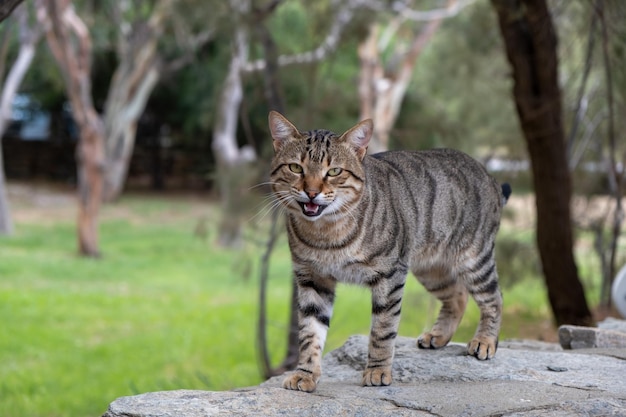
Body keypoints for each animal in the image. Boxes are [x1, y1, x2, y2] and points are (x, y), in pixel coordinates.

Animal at [266, 109, 510, 390]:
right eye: (296, 167)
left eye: (334, 171)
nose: (312, 192)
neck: (326, 234)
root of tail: (488, 174)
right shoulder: (312, 279)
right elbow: (309, 333)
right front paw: (305, 373)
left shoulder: (390, 275)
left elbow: (383, 330)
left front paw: (377, 371)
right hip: (431, 269)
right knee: (458, 296)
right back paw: (437, 336)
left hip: (474, 258)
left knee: (494, 297)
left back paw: (485, 342)